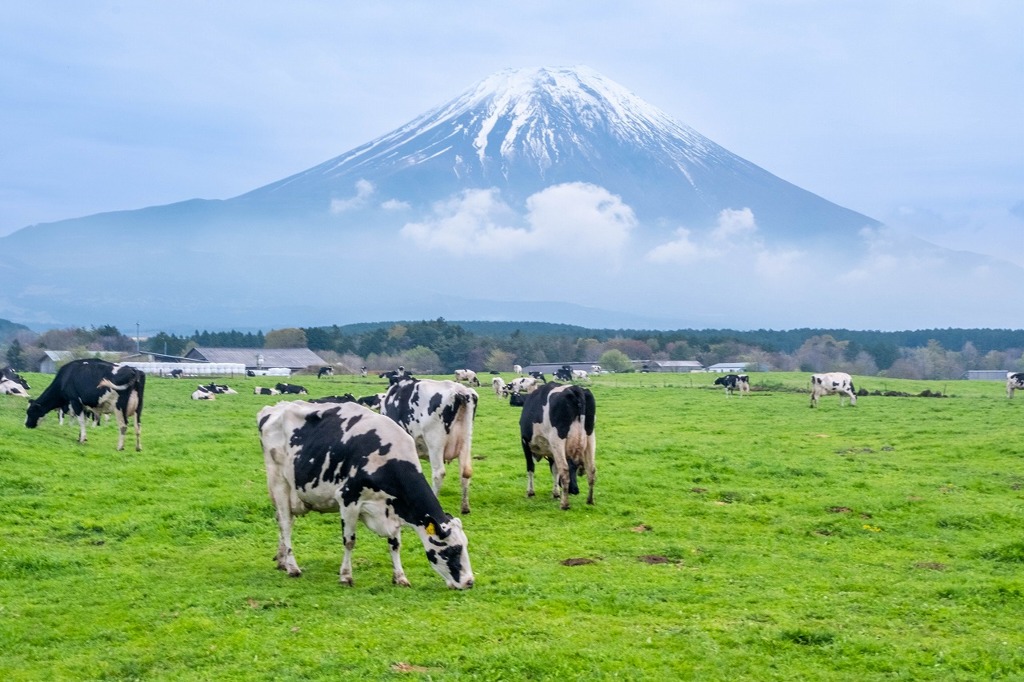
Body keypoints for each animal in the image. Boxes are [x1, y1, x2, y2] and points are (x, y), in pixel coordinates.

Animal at [260, 401, 475, 585]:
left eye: (465, 546)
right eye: (451, 550)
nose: (469, 582)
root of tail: (274, 408)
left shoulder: (392, 507)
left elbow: (395, 544)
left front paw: (400, 577)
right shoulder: (348, 499)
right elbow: (349, 541)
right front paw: (346, 576)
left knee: (284, 521)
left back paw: (282, 561)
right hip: (279, 483)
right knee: (286, 524)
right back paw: (292, 567)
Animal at [385, 374, 479, 512]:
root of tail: (460, 391)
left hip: (435, 442)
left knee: (439, 473)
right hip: (466, 440)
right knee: (466, 471)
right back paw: (465, 508)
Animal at [516, 378, 598, 507]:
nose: (575, 490)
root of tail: (575, 389)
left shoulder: (525, 442)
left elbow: (531, 468)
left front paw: (530, 492)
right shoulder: (551, 450)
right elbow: (555, 470)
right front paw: (556, 493)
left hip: (558, 440)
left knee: (564, 469)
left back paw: (564, 504)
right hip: (590, 437)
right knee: (591, 470)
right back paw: (589, 500)